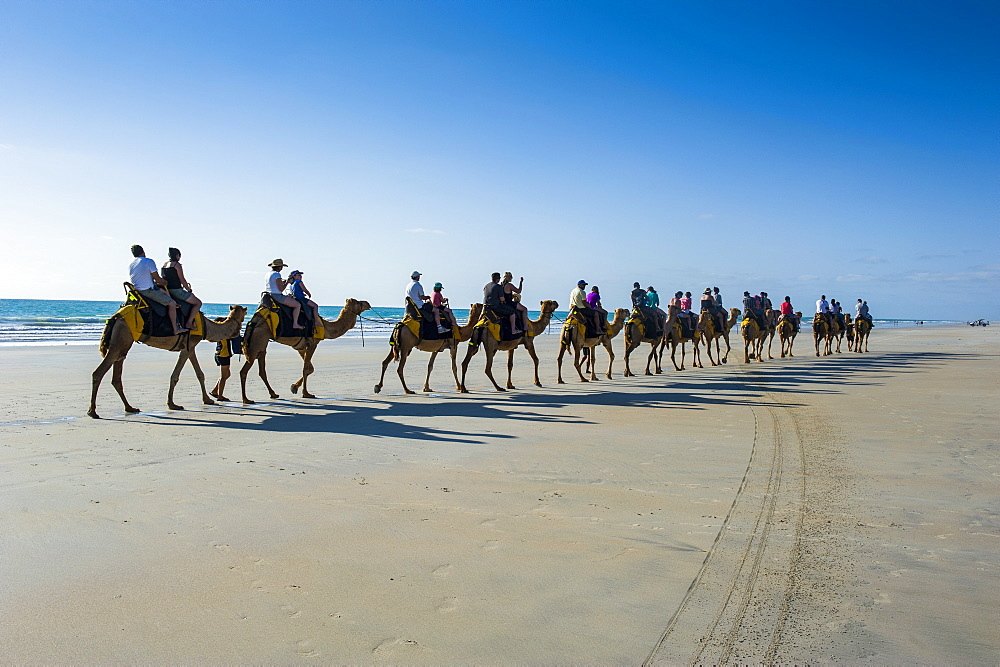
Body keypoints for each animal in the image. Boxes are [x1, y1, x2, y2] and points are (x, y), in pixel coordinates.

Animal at [88, 306, 248, 420]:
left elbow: (199, 374)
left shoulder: (189, 347)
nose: (243, 326)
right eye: (244, 312)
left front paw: (207, 400)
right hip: (120, 340)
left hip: (123, 344)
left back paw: (130, 408)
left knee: (116, 377)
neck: (206, 326)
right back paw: (93, 412)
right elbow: (176, 376)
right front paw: (173, 404)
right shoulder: (188, 346)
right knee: (98, 373)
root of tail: (115, 317)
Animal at [238, 300, 372, 404]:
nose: (368, 303)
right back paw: (246, 399)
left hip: (261, 345)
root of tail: (254, 320)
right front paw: (306, 393)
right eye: (358, 302)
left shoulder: (300, 347)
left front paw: (294, 387)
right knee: (244, 371)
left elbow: (310, 368)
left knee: (261, 370)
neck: (325, 327)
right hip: (257, 342)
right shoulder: (312, 343)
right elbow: (306, 368)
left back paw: (273, 394)